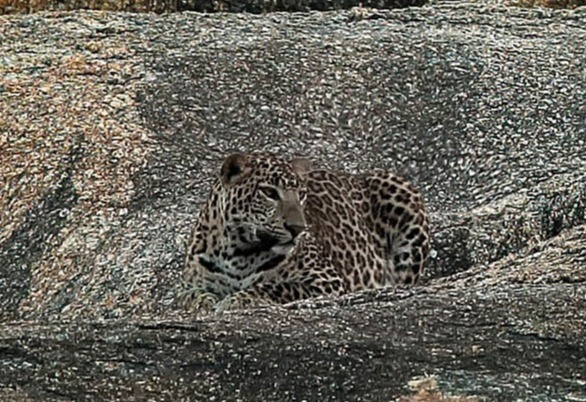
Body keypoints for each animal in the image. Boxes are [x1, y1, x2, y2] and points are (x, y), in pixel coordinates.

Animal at [178, 152, 428, 312]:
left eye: (302, 195)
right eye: (269, 193)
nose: (297, 228)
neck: (238, 251)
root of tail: (354, 175)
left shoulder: (326, 281)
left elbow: (275, 286)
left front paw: (239, 299)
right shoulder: (190, 283)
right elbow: (189, 294)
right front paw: (203, 302)